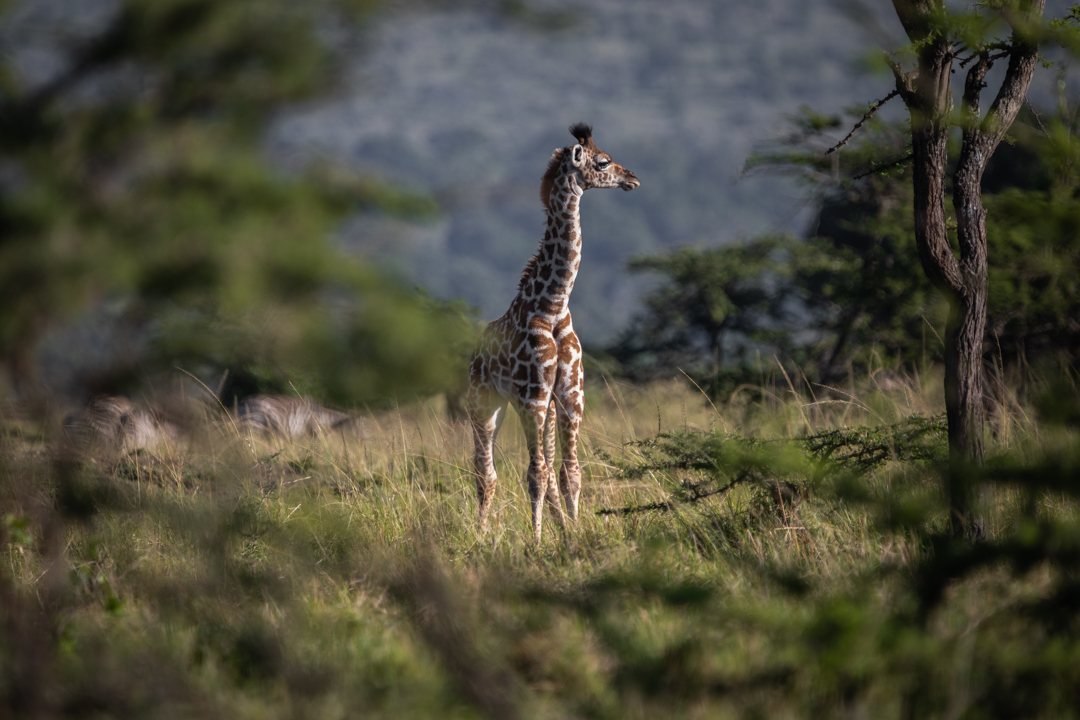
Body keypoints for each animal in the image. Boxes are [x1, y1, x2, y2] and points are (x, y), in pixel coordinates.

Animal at [466, 122, 639, 539]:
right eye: (603, 162)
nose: (633, 179)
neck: (554, 304)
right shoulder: (533, 397)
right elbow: (535, 476)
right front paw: (537, 541)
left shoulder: (570, 395)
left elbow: (569, 474)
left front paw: (575, 536)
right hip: (484, 405)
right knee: (486, 474)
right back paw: (480, 535)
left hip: (540, 408)